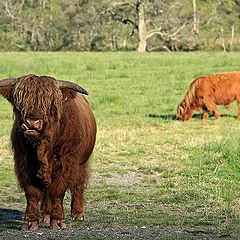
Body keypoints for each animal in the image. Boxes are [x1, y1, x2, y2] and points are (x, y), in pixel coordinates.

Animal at [0, 74, 96, 231]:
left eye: (50, 105)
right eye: (20, 103)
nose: (32, 122)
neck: (42, 148)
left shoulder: (67, 163)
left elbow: (58, 192)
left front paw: (58, 221)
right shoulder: (24, 163)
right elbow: (32, 193)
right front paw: (30, 222)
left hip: (82, 163)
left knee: (78, 184)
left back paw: (78, 213)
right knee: (46, 191)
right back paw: (45, 214)